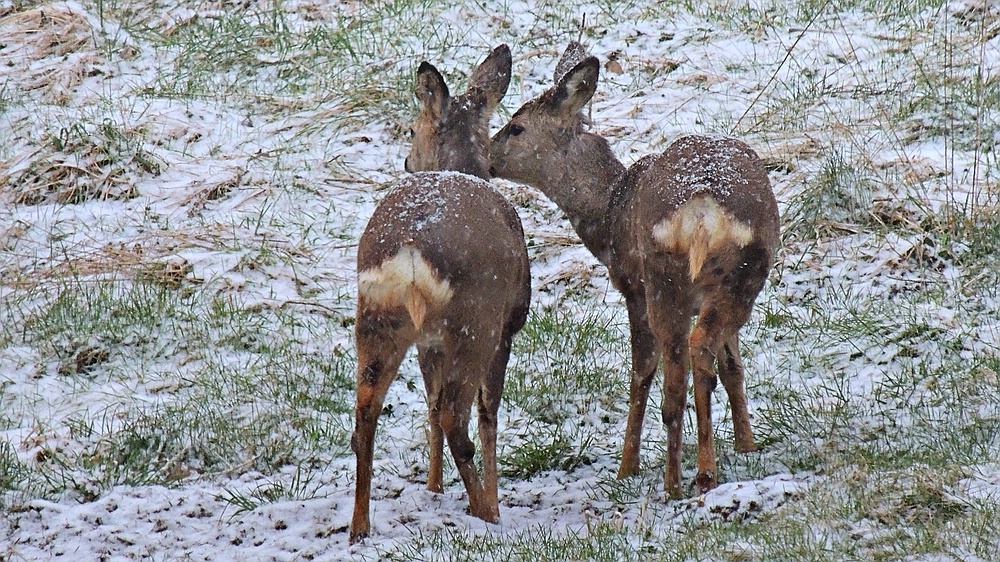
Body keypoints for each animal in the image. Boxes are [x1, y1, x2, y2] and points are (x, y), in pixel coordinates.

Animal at [348, 44, 532, 544]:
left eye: (412, 129)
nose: (408, 162)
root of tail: (412, 249)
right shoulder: (507, 327)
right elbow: (488, 413)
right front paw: (493, 500)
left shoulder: (428, 341)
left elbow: (428, 404)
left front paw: (432, 488)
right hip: (476, 319)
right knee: (457, 416)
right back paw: (486, 512)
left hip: (379, 316)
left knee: (368, 413)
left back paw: (359, 528)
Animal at [486, 42, 780, 494]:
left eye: (516, 127)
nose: (485, 157)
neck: (609, 212)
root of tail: (701, 206)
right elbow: (733, 366)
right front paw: (747, 446)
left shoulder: (631, 287)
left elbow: (641, 372)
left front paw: (627, 467)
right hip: (736, 276)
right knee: (700, 352)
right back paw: (702, 472)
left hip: (663, 279)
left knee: (675, 370)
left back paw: (681, 480)